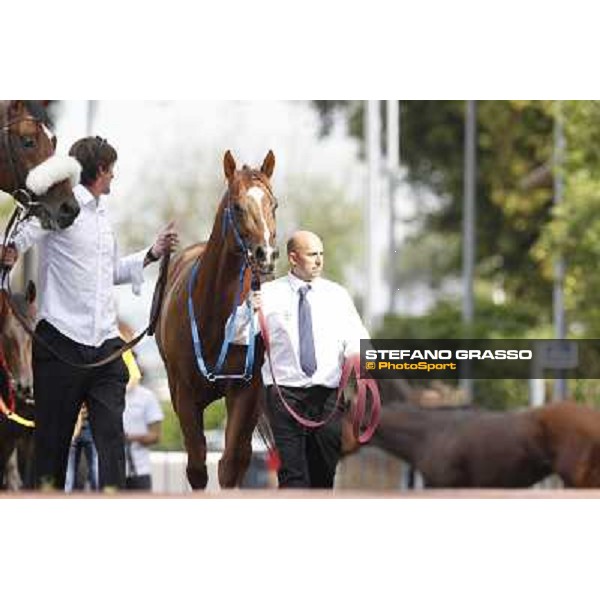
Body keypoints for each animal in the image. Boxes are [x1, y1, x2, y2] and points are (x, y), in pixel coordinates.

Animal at [154, 149, 278, 488]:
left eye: (274, 204)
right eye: (237, 206)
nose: (265, 255)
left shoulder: (245, 391)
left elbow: (231, 463)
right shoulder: (183, 394)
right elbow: (197, 465)